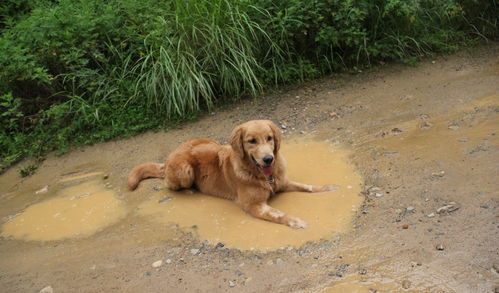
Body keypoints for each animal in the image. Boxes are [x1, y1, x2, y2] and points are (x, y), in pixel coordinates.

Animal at [128, 119, 340, 228]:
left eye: (269, 138)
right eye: (251, 141)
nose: (268, 159)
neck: (263, 175)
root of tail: (170, 156)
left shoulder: (282, 181)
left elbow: (307, 186)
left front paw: (328, 187)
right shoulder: (253, 206)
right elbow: (278, 214)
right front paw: (296, 221)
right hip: (184, 170)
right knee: (169, 184)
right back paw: (188, 190)